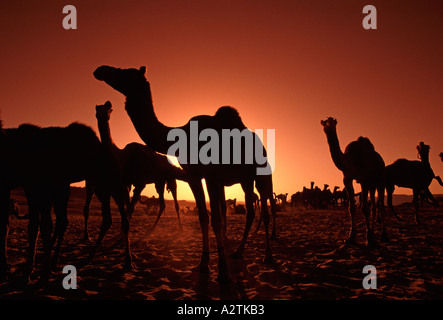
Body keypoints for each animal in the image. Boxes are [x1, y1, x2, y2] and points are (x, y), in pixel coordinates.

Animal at [0, 121, 132, 282]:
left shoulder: (44, 187)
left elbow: (46, 226)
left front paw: (42, 272)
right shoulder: (33, 189)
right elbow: (35, 227)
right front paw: (29, 271)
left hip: (111, 182)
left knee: (120, 218)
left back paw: (126, 261)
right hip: (101, 186)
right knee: (108, 218)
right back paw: (89, 257)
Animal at [94, 65, 278, 282]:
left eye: (126, 72)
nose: (101, 70)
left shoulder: (212, 174)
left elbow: (216, 218)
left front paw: (222, 272)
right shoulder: (193, 176)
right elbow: (203, 217)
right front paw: (203, 264)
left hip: (261, 174)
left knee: (265, 210)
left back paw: (267, 255)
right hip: (244, 179)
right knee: (250, 210)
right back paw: (238, 251)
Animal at [320, 117, 386, 245]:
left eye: (334, 123)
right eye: (324, 123)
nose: (329, 128)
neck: (351, 161)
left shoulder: (364, 181)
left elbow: (364, 208)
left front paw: (369, 239)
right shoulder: (347, 179)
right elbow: (351, 208)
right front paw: (351, 237)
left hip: (380, 181)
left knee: (381, 205)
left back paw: (383, 236)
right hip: (373, 185)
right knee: (374, 206)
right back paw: (373, 232)